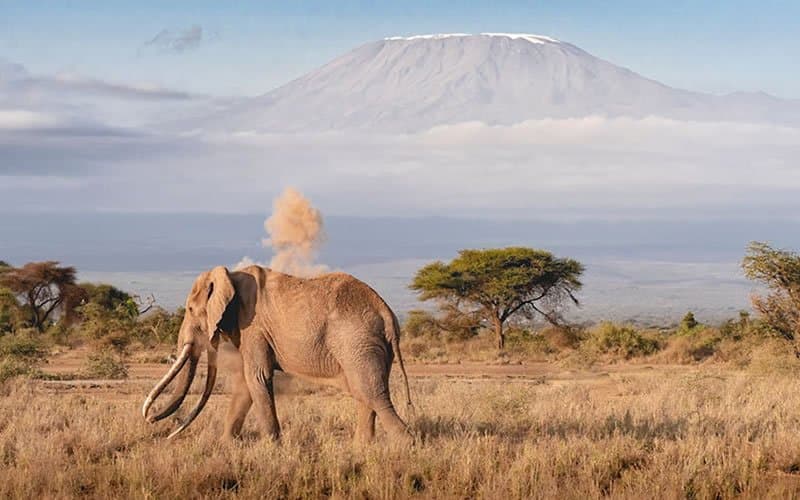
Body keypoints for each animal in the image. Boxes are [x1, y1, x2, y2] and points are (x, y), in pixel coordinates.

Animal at [142, 265, 413, 443]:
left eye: (189, 309)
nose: (152, 421)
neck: (230, 275)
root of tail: (387, 313)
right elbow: (246, 383)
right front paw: (227, 444)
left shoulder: (253, 327)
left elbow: (257, 377)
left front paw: (272, 447)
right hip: (367, 346)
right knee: (363, 393)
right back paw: (361, 449)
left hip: (358, 342)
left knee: (372, 394)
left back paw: (405, 445)